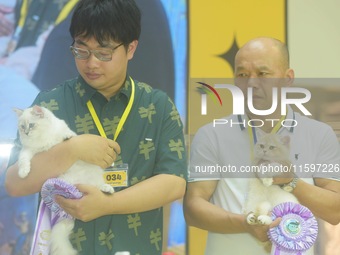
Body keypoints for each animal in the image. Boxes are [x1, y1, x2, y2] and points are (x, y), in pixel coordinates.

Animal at [14, 105, 114, 255]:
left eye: (31, 125)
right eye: (22, 127)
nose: (25, 133)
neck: (43, 138)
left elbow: (68, 136)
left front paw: (67, 137)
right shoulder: (28, 150)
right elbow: (23, 160)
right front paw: (23, 173)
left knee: (98, 186)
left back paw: (108, 189)